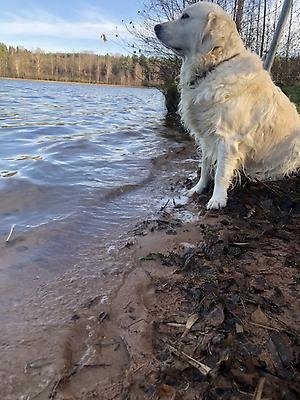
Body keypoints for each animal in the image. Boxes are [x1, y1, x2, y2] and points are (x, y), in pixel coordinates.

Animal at [155, 0, 300, 209]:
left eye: (185, 16)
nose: (156, 27)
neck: (214, 66)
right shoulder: (206, 136)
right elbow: (205, 166)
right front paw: (197, 188)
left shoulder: (227, 138)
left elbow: (220, 173)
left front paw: (217, 199)